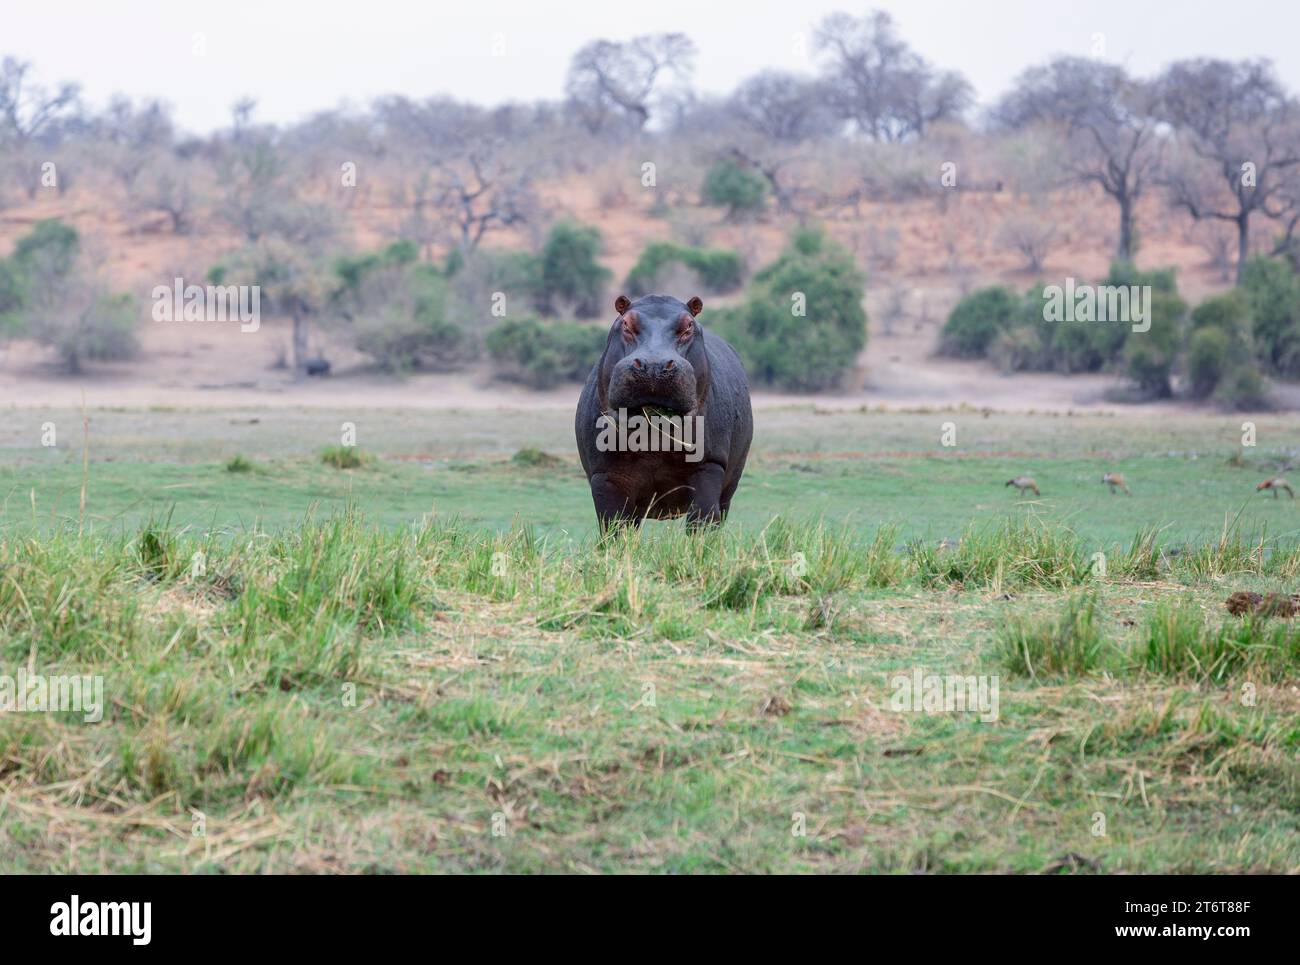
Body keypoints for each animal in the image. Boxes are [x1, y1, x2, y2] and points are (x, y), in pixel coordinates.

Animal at [575, 294, 753, 531]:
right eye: (626, 323)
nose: (654, 366)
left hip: (730, 482)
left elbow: (702, 521)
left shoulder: (709, 466)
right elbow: (614, 527)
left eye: (689, 325)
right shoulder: (605, 476)